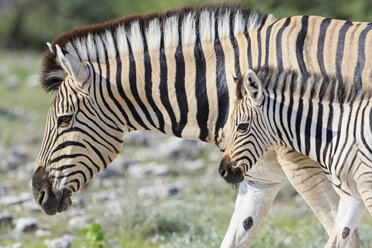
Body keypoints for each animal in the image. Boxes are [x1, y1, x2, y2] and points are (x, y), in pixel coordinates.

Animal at [219, 67, 372, 247]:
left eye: (242, 127)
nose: (223, 171)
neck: (337, 134)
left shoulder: (367, 189)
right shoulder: (351, 198)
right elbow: (336, 240)